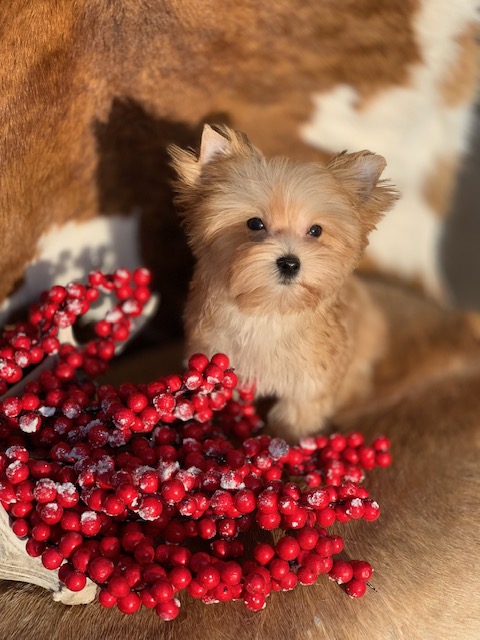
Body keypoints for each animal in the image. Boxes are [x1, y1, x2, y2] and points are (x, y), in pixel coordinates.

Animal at [169, 126, 398, 440]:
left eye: (316, 231)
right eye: (255, 224)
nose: (290, 262)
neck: (269, 311)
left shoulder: (310, 384)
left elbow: (295, 419)